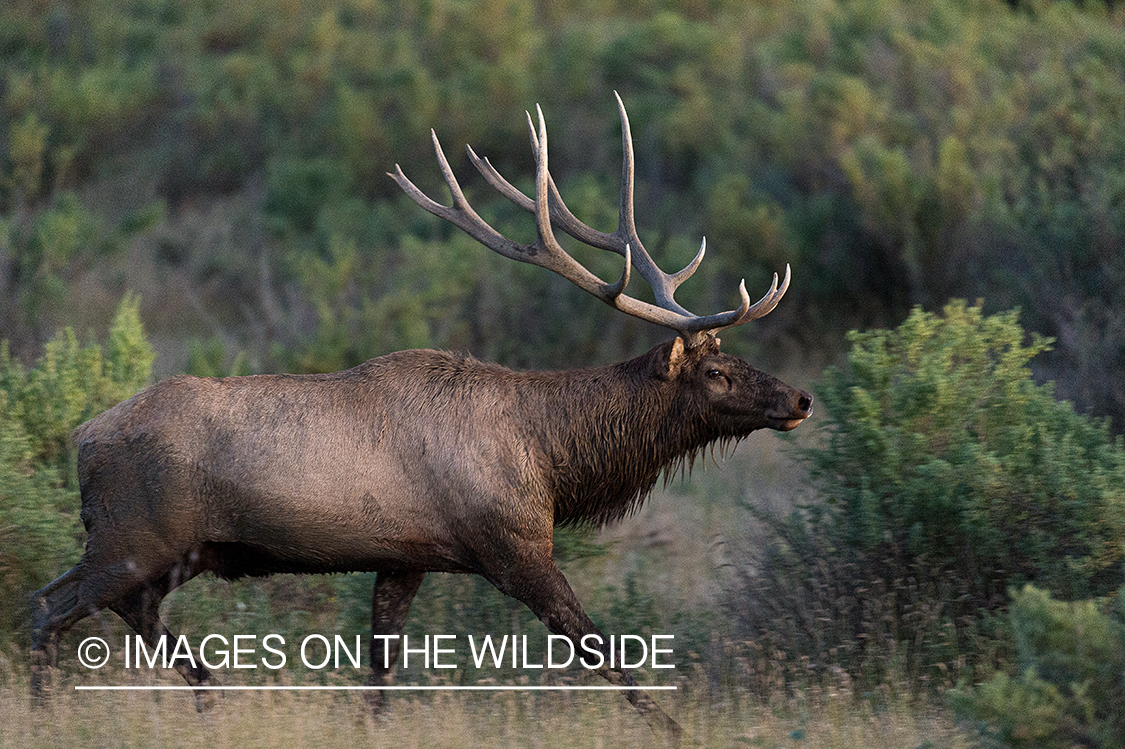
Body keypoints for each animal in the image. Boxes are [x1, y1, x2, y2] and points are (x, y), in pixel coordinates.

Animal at [30, 96, 814, 737]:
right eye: (715, 372)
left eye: (732, 356)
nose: (800, 399)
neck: (552, 459)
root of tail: (83, 437)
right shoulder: (511, 546)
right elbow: (597, 647)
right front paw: (676, 728)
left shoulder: (404, 557)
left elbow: (380, 674)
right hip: (134, 539)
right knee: (48, 605)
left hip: (166, 551)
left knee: (125, 612)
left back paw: (208, 692)